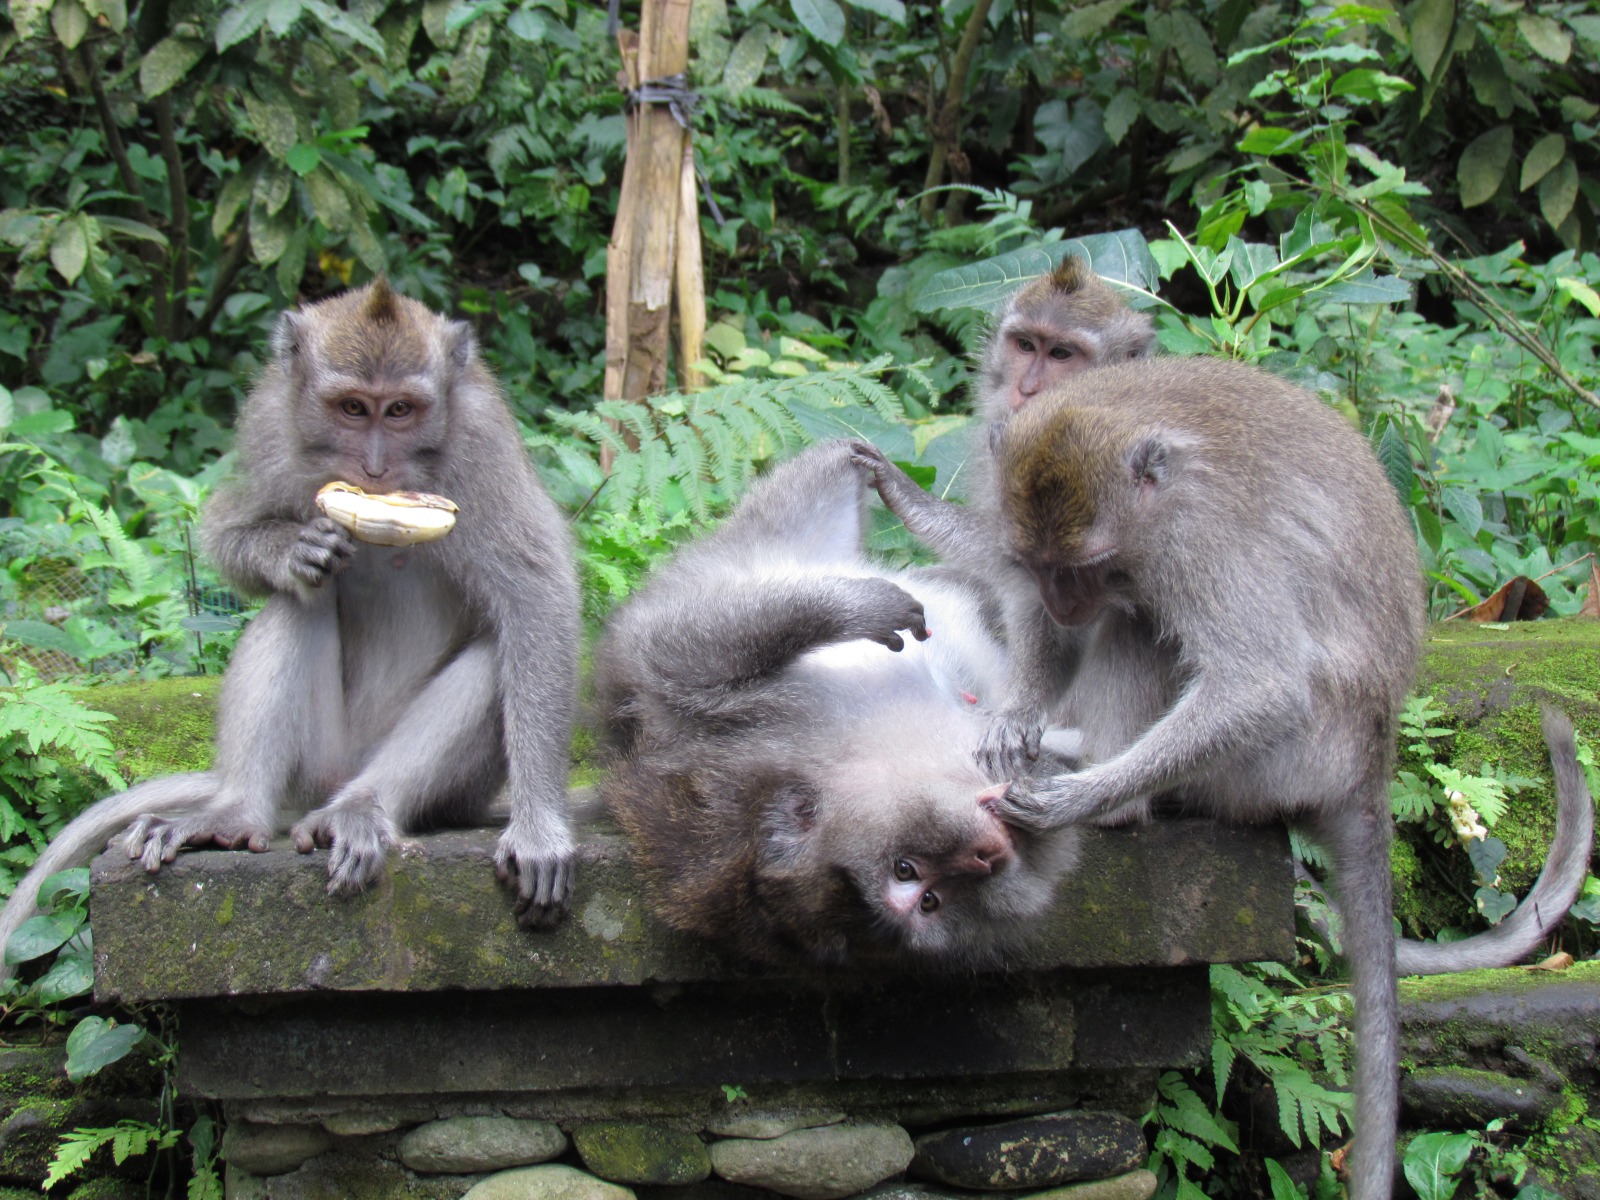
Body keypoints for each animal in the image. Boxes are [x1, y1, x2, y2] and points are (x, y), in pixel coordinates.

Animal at [0, 280, 581, 980]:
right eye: (353, 408)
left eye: (402, 410)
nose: (376, 470)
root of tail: (322, 788)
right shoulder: (270, 425)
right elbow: (229, 528)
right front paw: (292, 550)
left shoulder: (481, 440)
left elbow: (536, 594)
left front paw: (540, 828)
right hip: (313, 759)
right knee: (294, 606)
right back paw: (231, 815)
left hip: (438, 785)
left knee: (495, 655)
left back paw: (359, 810)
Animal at [595, 439, 1082, 966]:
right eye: (919, 886)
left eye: (908, 873)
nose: (984, 858)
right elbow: (669, 648)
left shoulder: (754, 716)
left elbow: (669, 655)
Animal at [958, 355, 1595, 1200]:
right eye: (1040, 566)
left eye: (1090, 566)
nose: (1065, 602)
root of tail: (1371, 759)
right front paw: (1016, 717)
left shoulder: (1197, 541)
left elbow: (1261, 685)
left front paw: (1078, 796)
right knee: (1138, 622)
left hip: (1285, 760)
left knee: (1147, 629)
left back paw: (1117, 804)